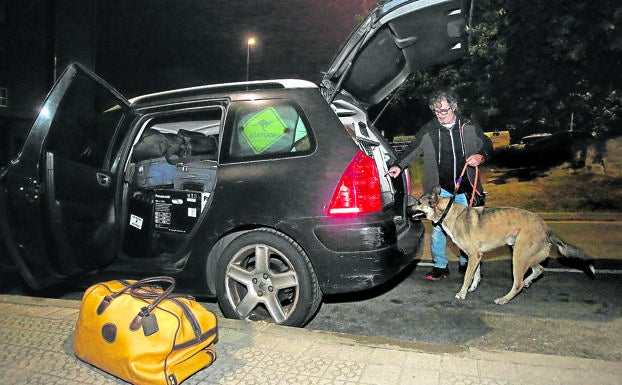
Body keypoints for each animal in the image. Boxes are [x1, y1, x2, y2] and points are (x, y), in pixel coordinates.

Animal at [412, 186, 596, 304]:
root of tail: (546, 227)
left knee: (518, 283)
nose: (408, 207)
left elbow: (466, 277)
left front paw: (462, 293)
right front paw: (472, 288)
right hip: (525, 254)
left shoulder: (473, 255)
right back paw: (527, 282)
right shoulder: (476, 256)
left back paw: (504, 299)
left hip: (518, 257)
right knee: (539, 269)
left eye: (419, 202)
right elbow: (476, 274)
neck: (449, 212)